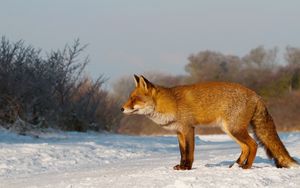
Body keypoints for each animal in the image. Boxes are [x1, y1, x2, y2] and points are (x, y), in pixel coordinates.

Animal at [120, 74, 298, 170]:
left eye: (134, 99)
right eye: (130, 98)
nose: (121, 108)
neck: (171, 103)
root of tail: (256, 94)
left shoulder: (188, 129)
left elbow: (189, 152)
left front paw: (186, 168)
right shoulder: (179, 132)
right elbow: (182, 152)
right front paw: (181, 166)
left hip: (234, 130)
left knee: (253, 145)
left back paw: (246, 167)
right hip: (230, 130)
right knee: (246, 147)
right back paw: (235, 165)